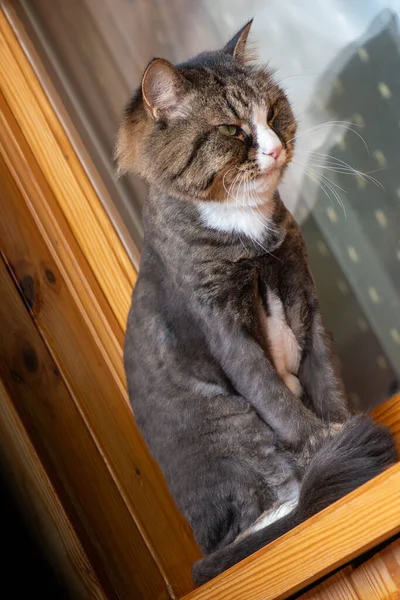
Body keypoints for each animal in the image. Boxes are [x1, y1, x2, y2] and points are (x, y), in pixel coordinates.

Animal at [116, 19, 396, 584]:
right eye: (230, 129)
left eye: (271, 112)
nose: (272, 148)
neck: (250, 238)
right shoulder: (226, 328)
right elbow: (278, 401)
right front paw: (331, 443)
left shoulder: (303, 296)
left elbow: (325, 379)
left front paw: (344, 428)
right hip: (230, 421)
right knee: (262, 507)